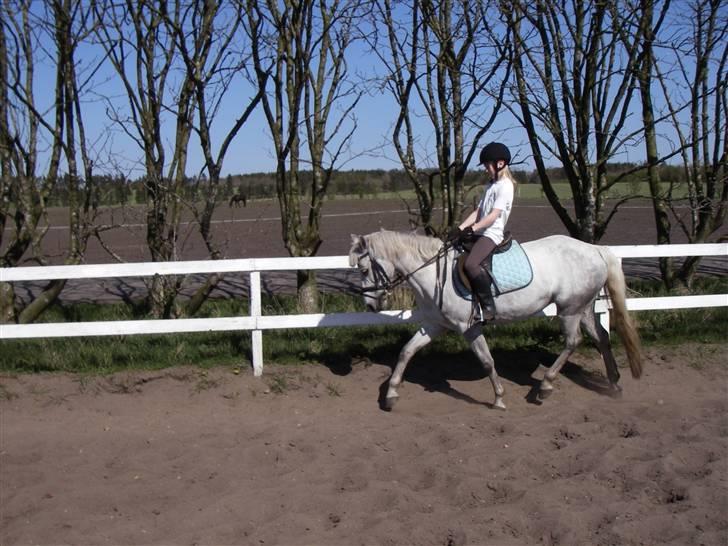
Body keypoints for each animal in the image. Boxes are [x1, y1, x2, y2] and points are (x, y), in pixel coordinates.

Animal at [350, 227, 640, 410]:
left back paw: (545, 386)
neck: (433, 274)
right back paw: (614, 384)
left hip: (569, 309)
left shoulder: (468, 327)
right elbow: (406, 352)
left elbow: (487, 361)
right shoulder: (434, 325)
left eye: (363, 269)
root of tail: (595, 250)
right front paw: (391, 394)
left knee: (573, 342)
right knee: (600, 337)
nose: (370, 305)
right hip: (584, 307)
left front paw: (499, 398)